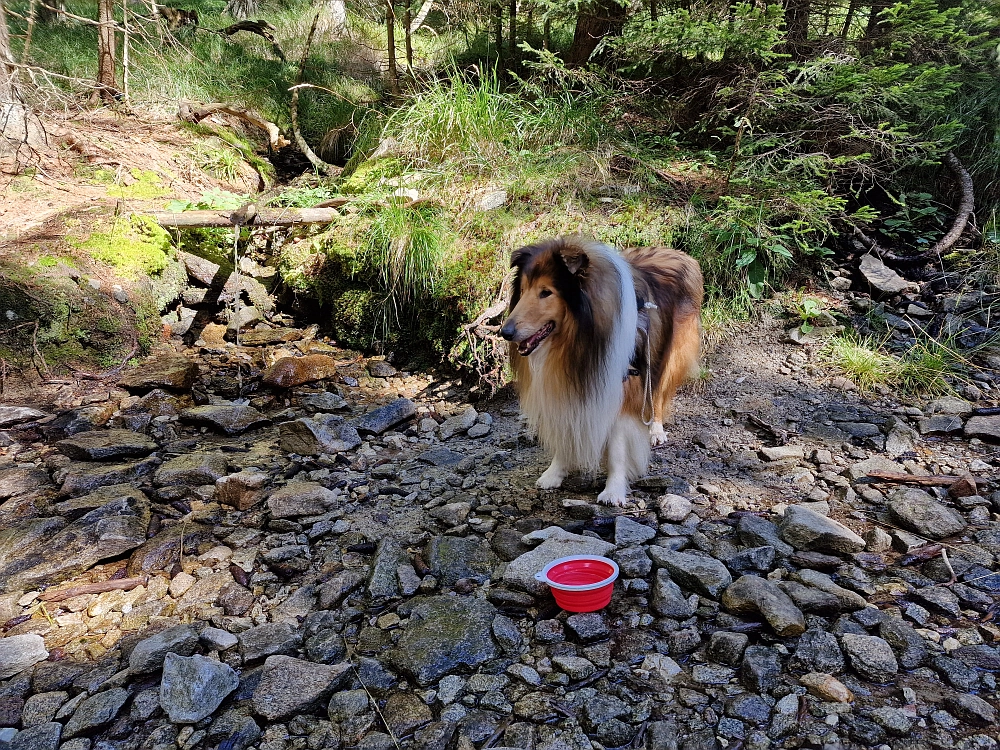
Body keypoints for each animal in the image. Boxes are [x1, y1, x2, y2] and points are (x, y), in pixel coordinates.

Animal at [500, 235, 704, 506]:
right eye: (522, 291)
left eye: (546, 292)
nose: (505, 332)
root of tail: (681, 254)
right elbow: (566, 433)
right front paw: (554, 473)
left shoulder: (621, 385)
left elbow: (617, 449)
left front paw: (613, 490)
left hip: (669, 356)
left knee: (658, 394)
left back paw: (656, 430)